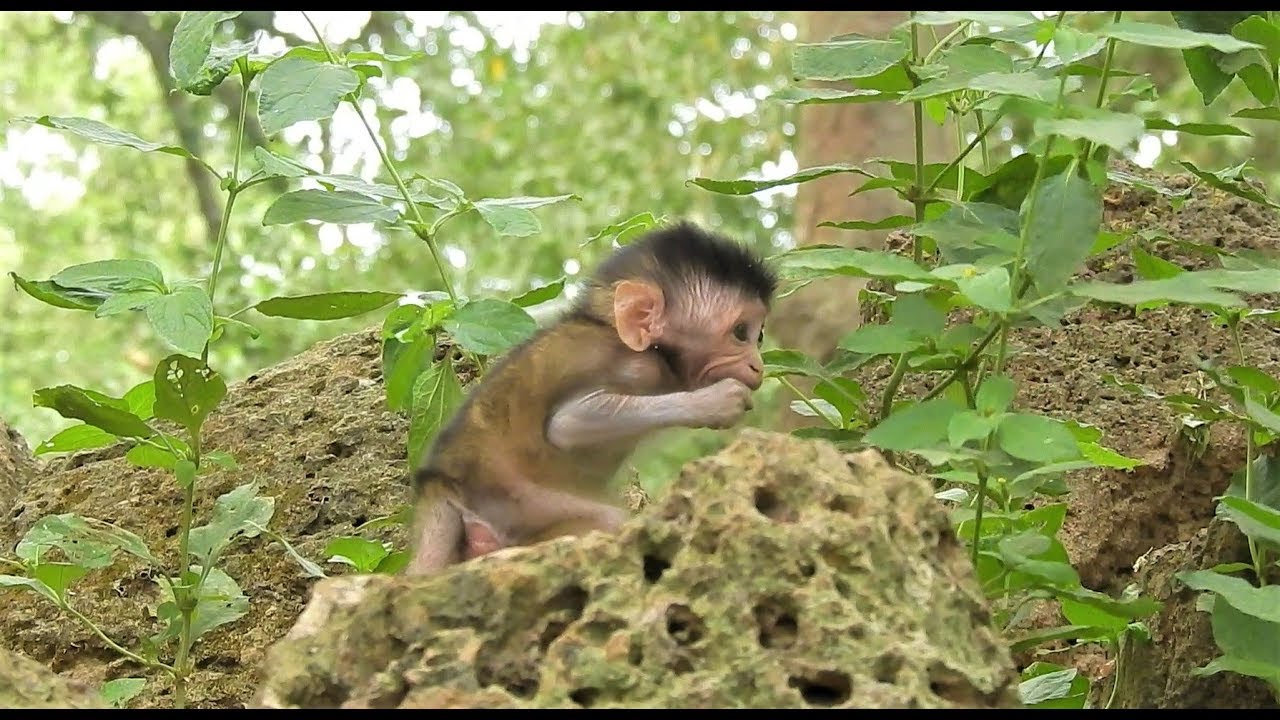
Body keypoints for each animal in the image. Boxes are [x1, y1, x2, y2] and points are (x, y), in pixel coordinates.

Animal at [404, 221, 777, 574]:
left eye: (758, 335)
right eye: (740, 333)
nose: (757, 366)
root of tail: (441, 485)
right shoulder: (635, 367)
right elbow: (568, 424)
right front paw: (717, 401)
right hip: (519, 504)